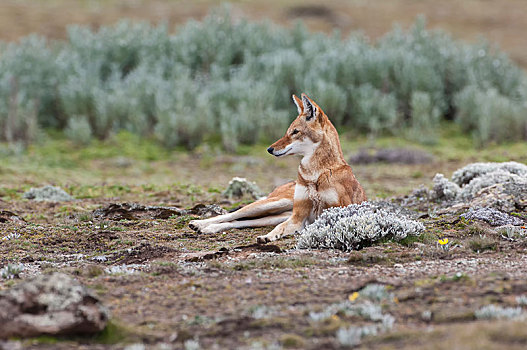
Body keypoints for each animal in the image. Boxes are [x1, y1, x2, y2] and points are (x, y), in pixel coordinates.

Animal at [190, 93, 368, 243]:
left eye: (295, 132)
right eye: (287, 132)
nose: (269, 149)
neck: (315, 174)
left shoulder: (332, 213)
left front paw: (267, 237)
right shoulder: (297, 218)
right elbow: (279, 228)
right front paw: (267, 237)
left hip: (275, 214)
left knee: (238, 221)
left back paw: (208, 228)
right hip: (271, 204)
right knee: (234, 214)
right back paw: (199, 224)